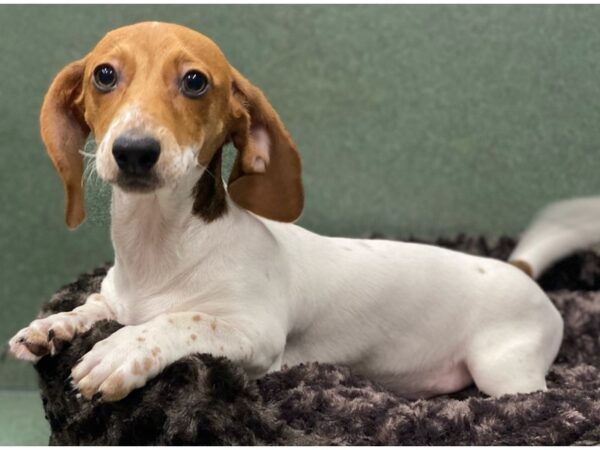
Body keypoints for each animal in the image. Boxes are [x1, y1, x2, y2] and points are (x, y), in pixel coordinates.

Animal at [8, 22, 564, 400]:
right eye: (104, 74)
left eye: (195, 82)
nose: (135, 151)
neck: (161, 249)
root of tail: (517, 268)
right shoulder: (117, 298)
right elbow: (95, 307)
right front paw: (53, 326)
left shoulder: (255, 335)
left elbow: (182, 320)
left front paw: (120, 350)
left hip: (505, 370)